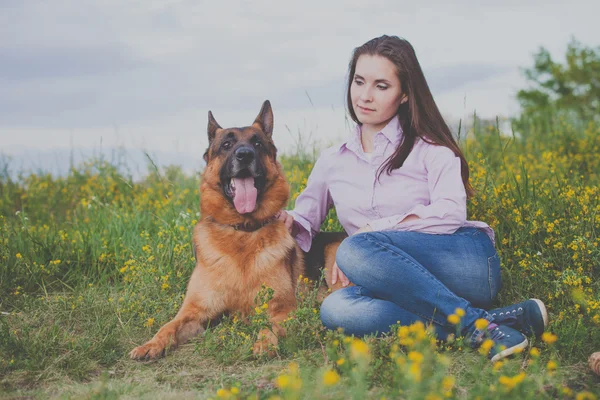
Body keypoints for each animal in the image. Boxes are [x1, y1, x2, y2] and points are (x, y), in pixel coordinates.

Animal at [131, 101, 346, 360]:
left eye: (257, 143)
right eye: (226, 145)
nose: (245, 155)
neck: (242, 232)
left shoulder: (283, 308)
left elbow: (268, 325)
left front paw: (264, 343)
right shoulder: (195, 311)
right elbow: (168, 325)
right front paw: (151, 344)